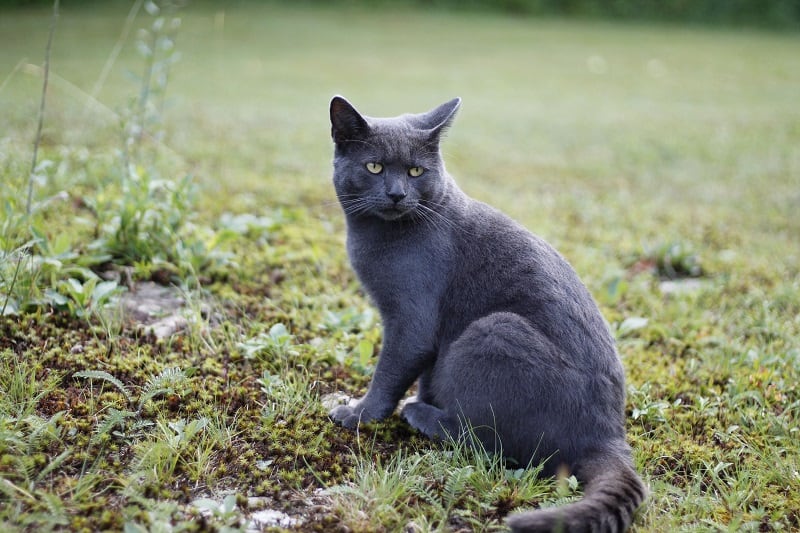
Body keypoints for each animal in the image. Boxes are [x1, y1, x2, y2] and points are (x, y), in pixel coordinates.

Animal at [328, 96, 648, 532]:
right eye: (374, 167)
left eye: (415, 171)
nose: (396, 194)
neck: (377, 236)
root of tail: (609, 437)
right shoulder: (431, 338)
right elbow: (425, 372)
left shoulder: (412, 321)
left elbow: (389, 373)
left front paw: (359, 415)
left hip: (495, 330)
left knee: (490, 443)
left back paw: (420, 414)